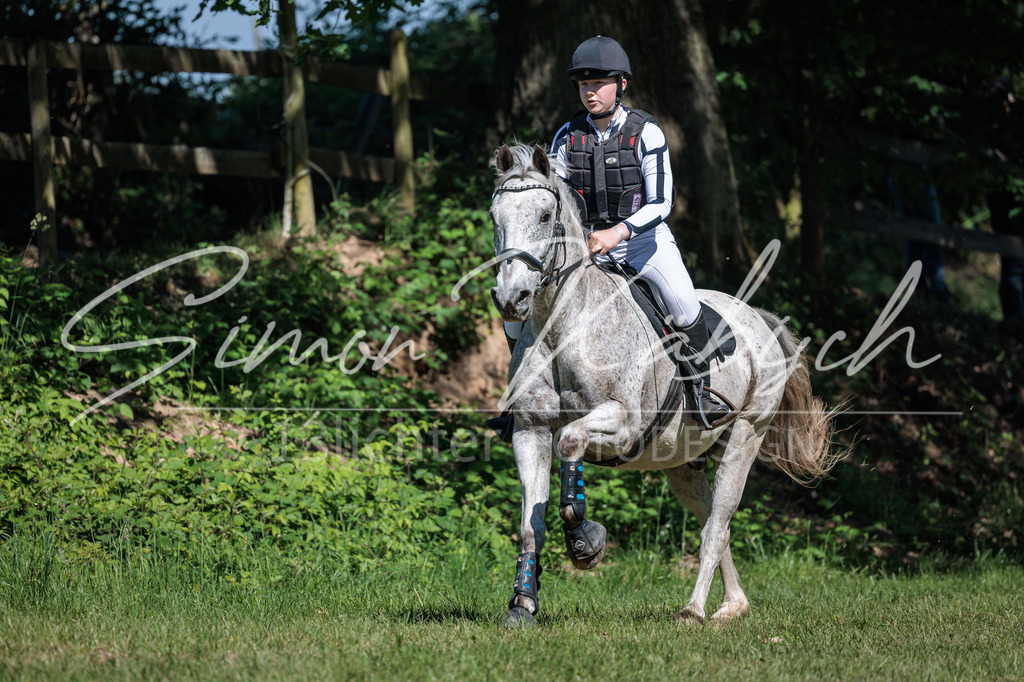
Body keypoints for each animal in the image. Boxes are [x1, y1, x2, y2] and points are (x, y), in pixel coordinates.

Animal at [487, 142, 843, 628]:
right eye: (495, 216)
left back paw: (694, 610)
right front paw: (523, 603)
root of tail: (757, 317)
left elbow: (571, 443)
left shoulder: (621, 423)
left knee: (717, 526)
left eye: (545, 216)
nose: (511, 298)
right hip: (681, 460)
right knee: (712, 518)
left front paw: (585, 541)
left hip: (745, 437)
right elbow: (530, 527)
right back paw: (733, 605)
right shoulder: (530, 430)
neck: (563, 327)